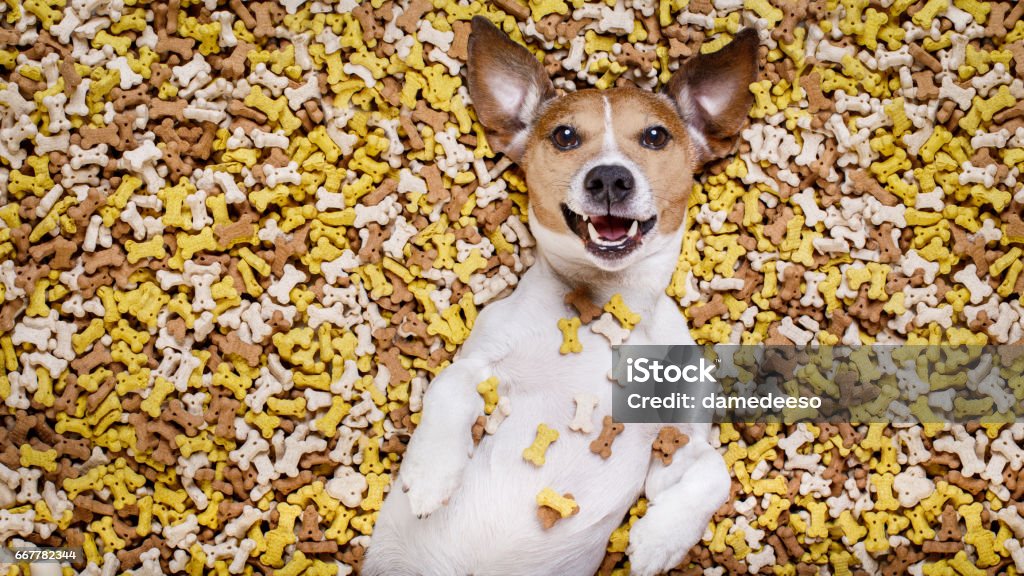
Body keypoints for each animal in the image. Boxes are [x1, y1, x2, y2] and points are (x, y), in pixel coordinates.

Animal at [366, 17, 761, 573]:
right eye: (565, 135)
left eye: (656, 135)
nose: (610, 177)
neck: (607, 308)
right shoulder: (480, 360)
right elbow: (448, 386)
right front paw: (429, 475)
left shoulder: (676, 440)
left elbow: (715, 471)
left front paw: (659, 539)